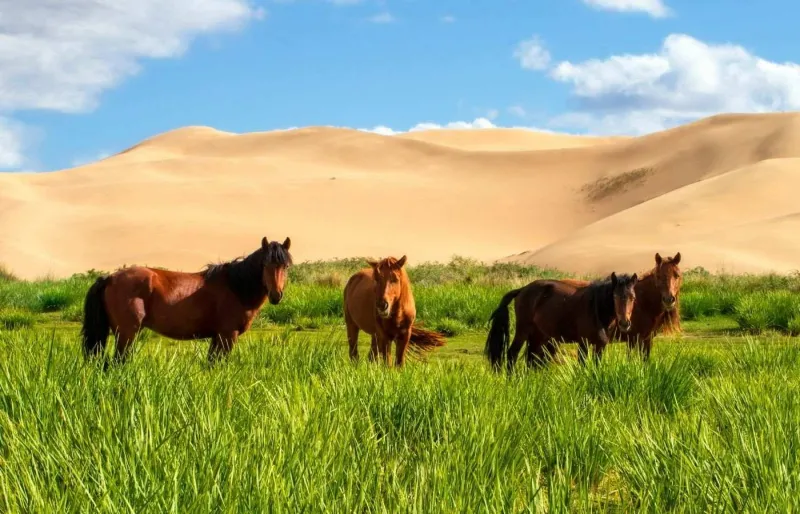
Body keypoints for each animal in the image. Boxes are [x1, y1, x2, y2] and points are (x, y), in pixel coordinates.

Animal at [80, 236, 293, 365]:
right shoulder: (227, 335)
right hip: (127, 333)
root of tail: (110, 278)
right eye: (265, 264)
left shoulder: (217, 337)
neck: (236, 286)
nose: (276, 295)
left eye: (286, 266)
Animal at [484, 272, 638, 372]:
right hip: (523, 330)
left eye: (633, 297)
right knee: (512, 354)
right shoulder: (583, 343)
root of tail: (522, 290)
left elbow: (596, 366)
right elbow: (582, 366)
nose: (625, 323)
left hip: (538, 334)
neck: (596, 307)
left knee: (531, 358)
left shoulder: (600, 345)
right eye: (615, 296)